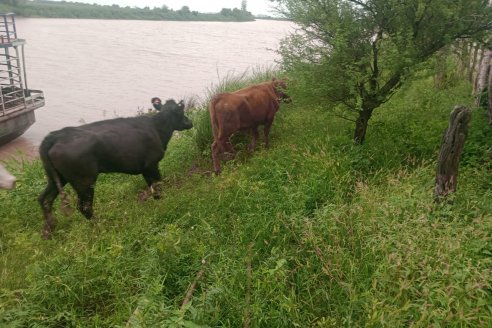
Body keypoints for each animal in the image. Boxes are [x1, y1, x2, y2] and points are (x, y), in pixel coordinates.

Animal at [39, 97, 192, 238]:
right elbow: (158, 187)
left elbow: (152, 187)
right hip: (84, 180)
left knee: (45, 199)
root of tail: (55, 135)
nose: (190, 122)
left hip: (57, 177)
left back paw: (49, 230)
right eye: (181, 111)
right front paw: (163, 204)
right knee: (84, 207)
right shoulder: (151, 164)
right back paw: (100, 228)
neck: (157, 129)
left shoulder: (145, 168)